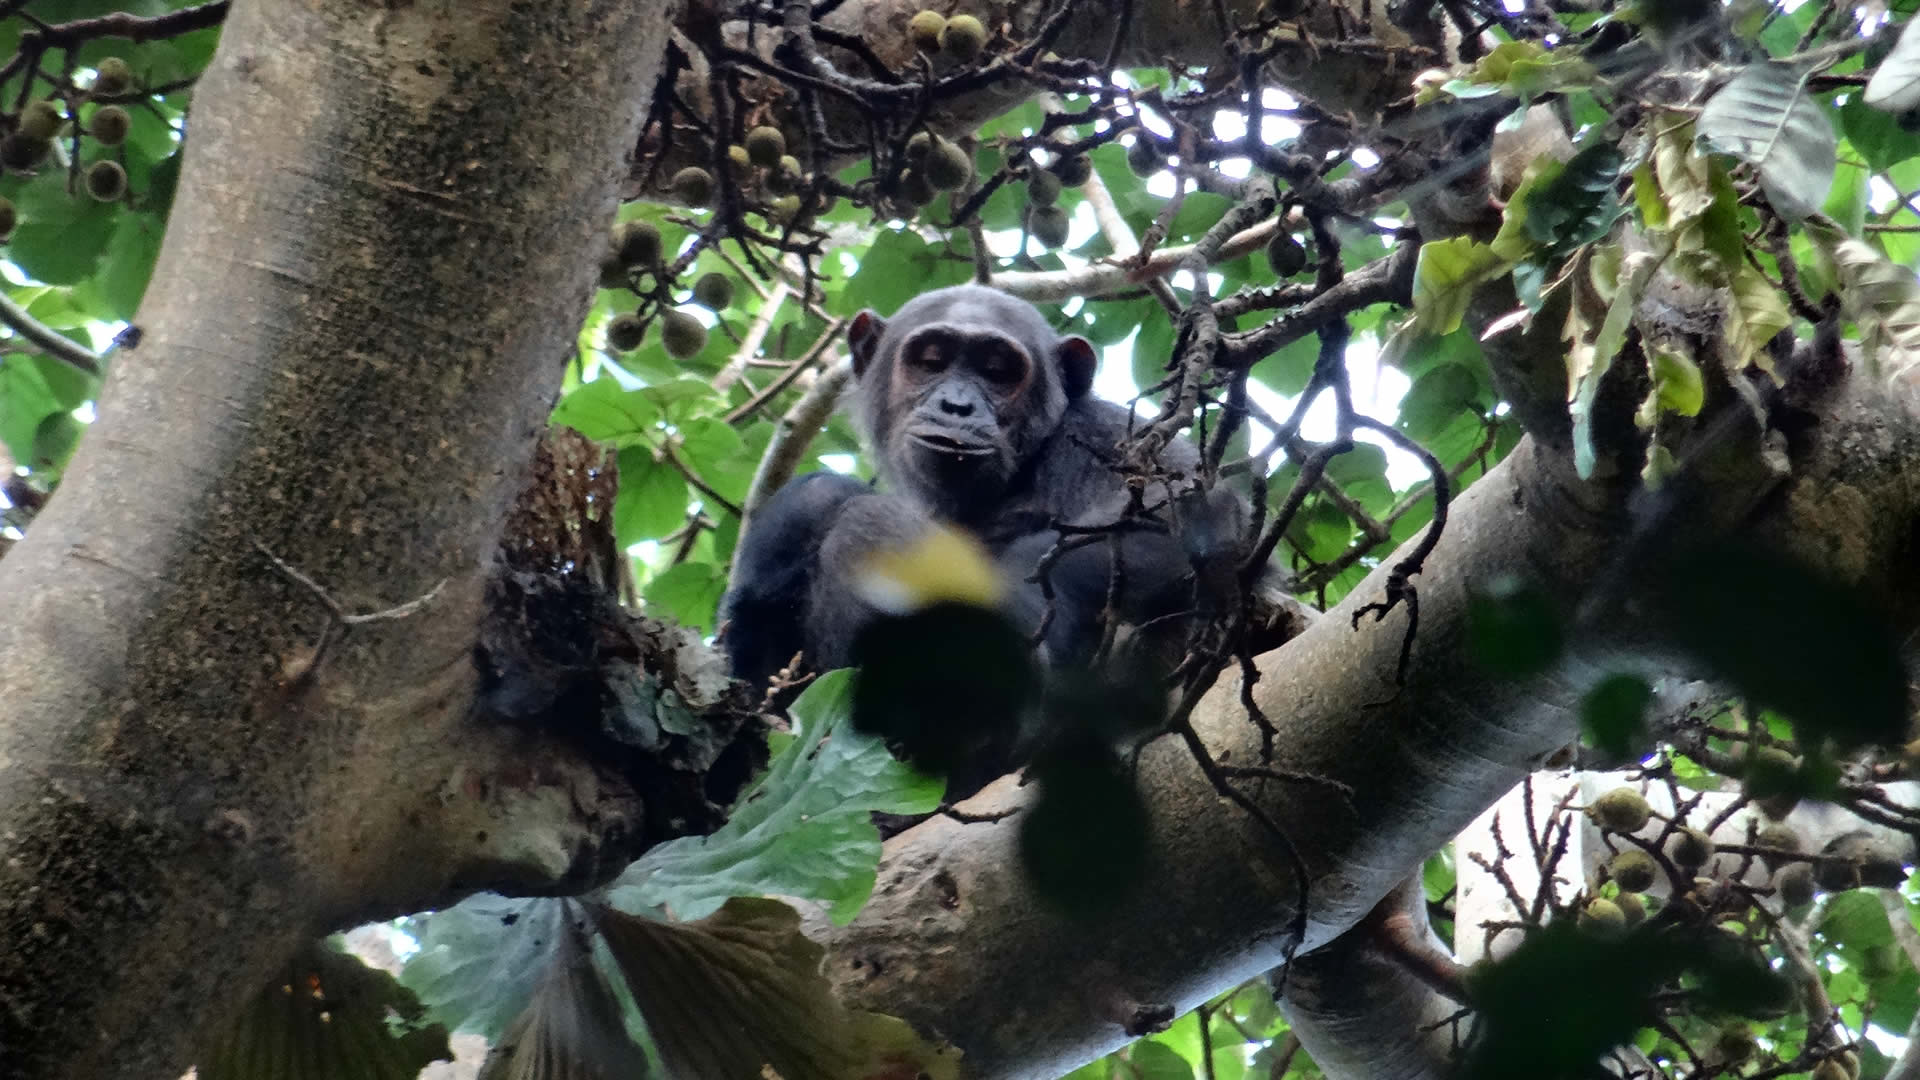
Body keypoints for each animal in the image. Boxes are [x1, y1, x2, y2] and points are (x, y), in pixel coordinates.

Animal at [721, 282, 1244, 691]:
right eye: (931, 361)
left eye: (997, 372)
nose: (957, 405)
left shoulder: (1108, 435)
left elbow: (1191, 516)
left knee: (862, 518)